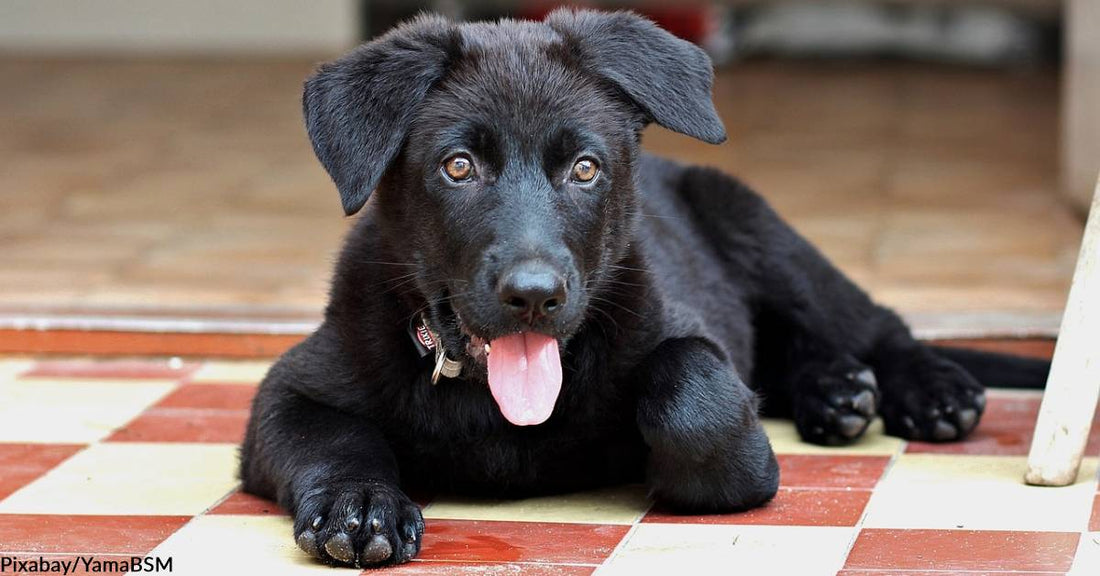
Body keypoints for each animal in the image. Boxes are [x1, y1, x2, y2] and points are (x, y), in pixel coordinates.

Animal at [238, 7, 1038, 567]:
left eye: (585, 169)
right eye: (457, 167)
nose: (534, 295)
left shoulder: (682, 330)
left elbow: (695, 395)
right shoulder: (290, 389)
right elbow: (331, 434)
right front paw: (360, 504)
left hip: (762, 232)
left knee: (875, 325)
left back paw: (925, 391)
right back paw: (836, 392)